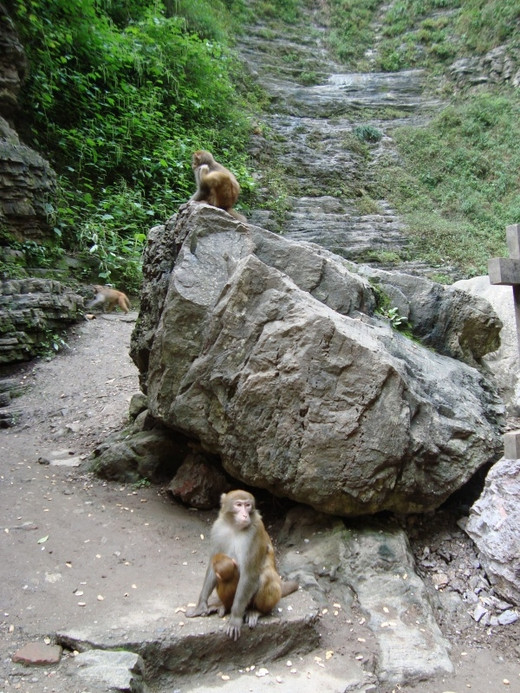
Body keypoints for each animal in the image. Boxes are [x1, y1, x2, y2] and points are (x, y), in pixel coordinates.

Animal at [189, 490, 298, 640]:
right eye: (239, 505)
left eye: (248, 505)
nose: (245, 515)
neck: (234, 527)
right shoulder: (218, 528)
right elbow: (213, 566)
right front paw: (201, 605)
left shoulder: (255, 532)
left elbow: (249, 574)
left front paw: (235, 619)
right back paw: (223, 606)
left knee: (266, 576)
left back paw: (256, 611)